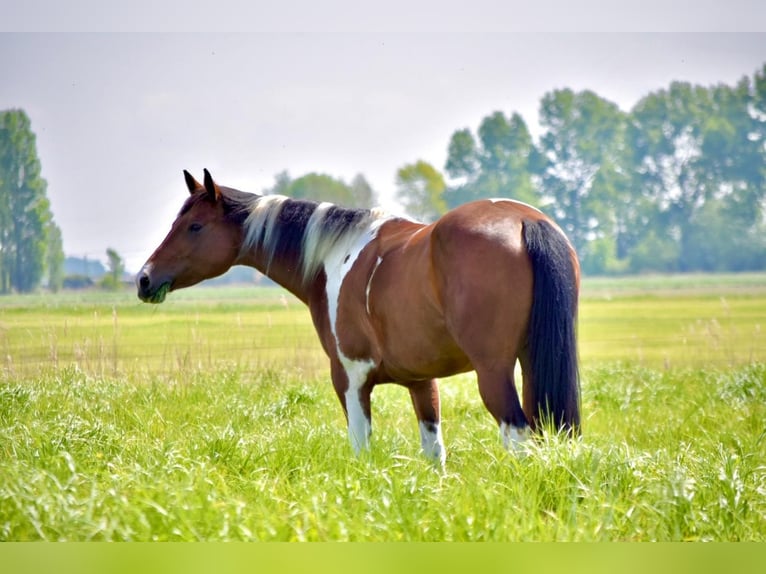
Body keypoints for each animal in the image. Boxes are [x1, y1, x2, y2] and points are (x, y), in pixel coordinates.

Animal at [137, 169, 580, 464]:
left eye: (194, 226)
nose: (144, 279)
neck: (332, 257)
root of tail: (525, 221)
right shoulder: (421, 383)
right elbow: (433, 451)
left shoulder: (349, 379)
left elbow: (361, 449)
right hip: (534, 365)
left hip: (494, 372)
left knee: (518, 435)